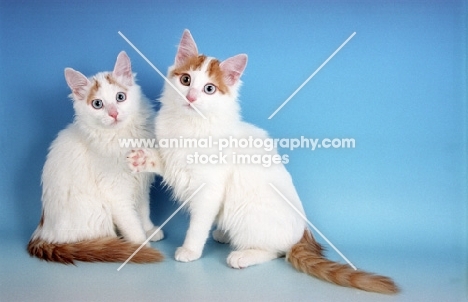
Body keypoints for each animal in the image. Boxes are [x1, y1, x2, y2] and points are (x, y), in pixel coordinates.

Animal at [27, 50, 164, 264]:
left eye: (120, 97)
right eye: (97, 104)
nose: (113, 113)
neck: (123, 136)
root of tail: (42, 234)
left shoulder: (141, 184)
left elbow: (143, 210)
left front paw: (149, 229)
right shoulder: (116, 193)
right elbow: (132, 223)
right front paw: (140, 246)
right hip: (98, 211)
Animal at [129, 30, 398, 292]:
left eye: (209, 89)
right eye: (186, 80)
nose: (192, 97)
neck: (188, 126)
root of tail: (303, 232)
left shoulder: (209, 190)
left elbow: (198, 225)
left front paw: (190, 251)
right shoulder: (175, 162)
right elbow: (162, 161)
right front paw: (142, 158)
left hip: (248, 216)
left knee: (276, 251)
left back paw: (242, 256)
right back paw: (223, 234)